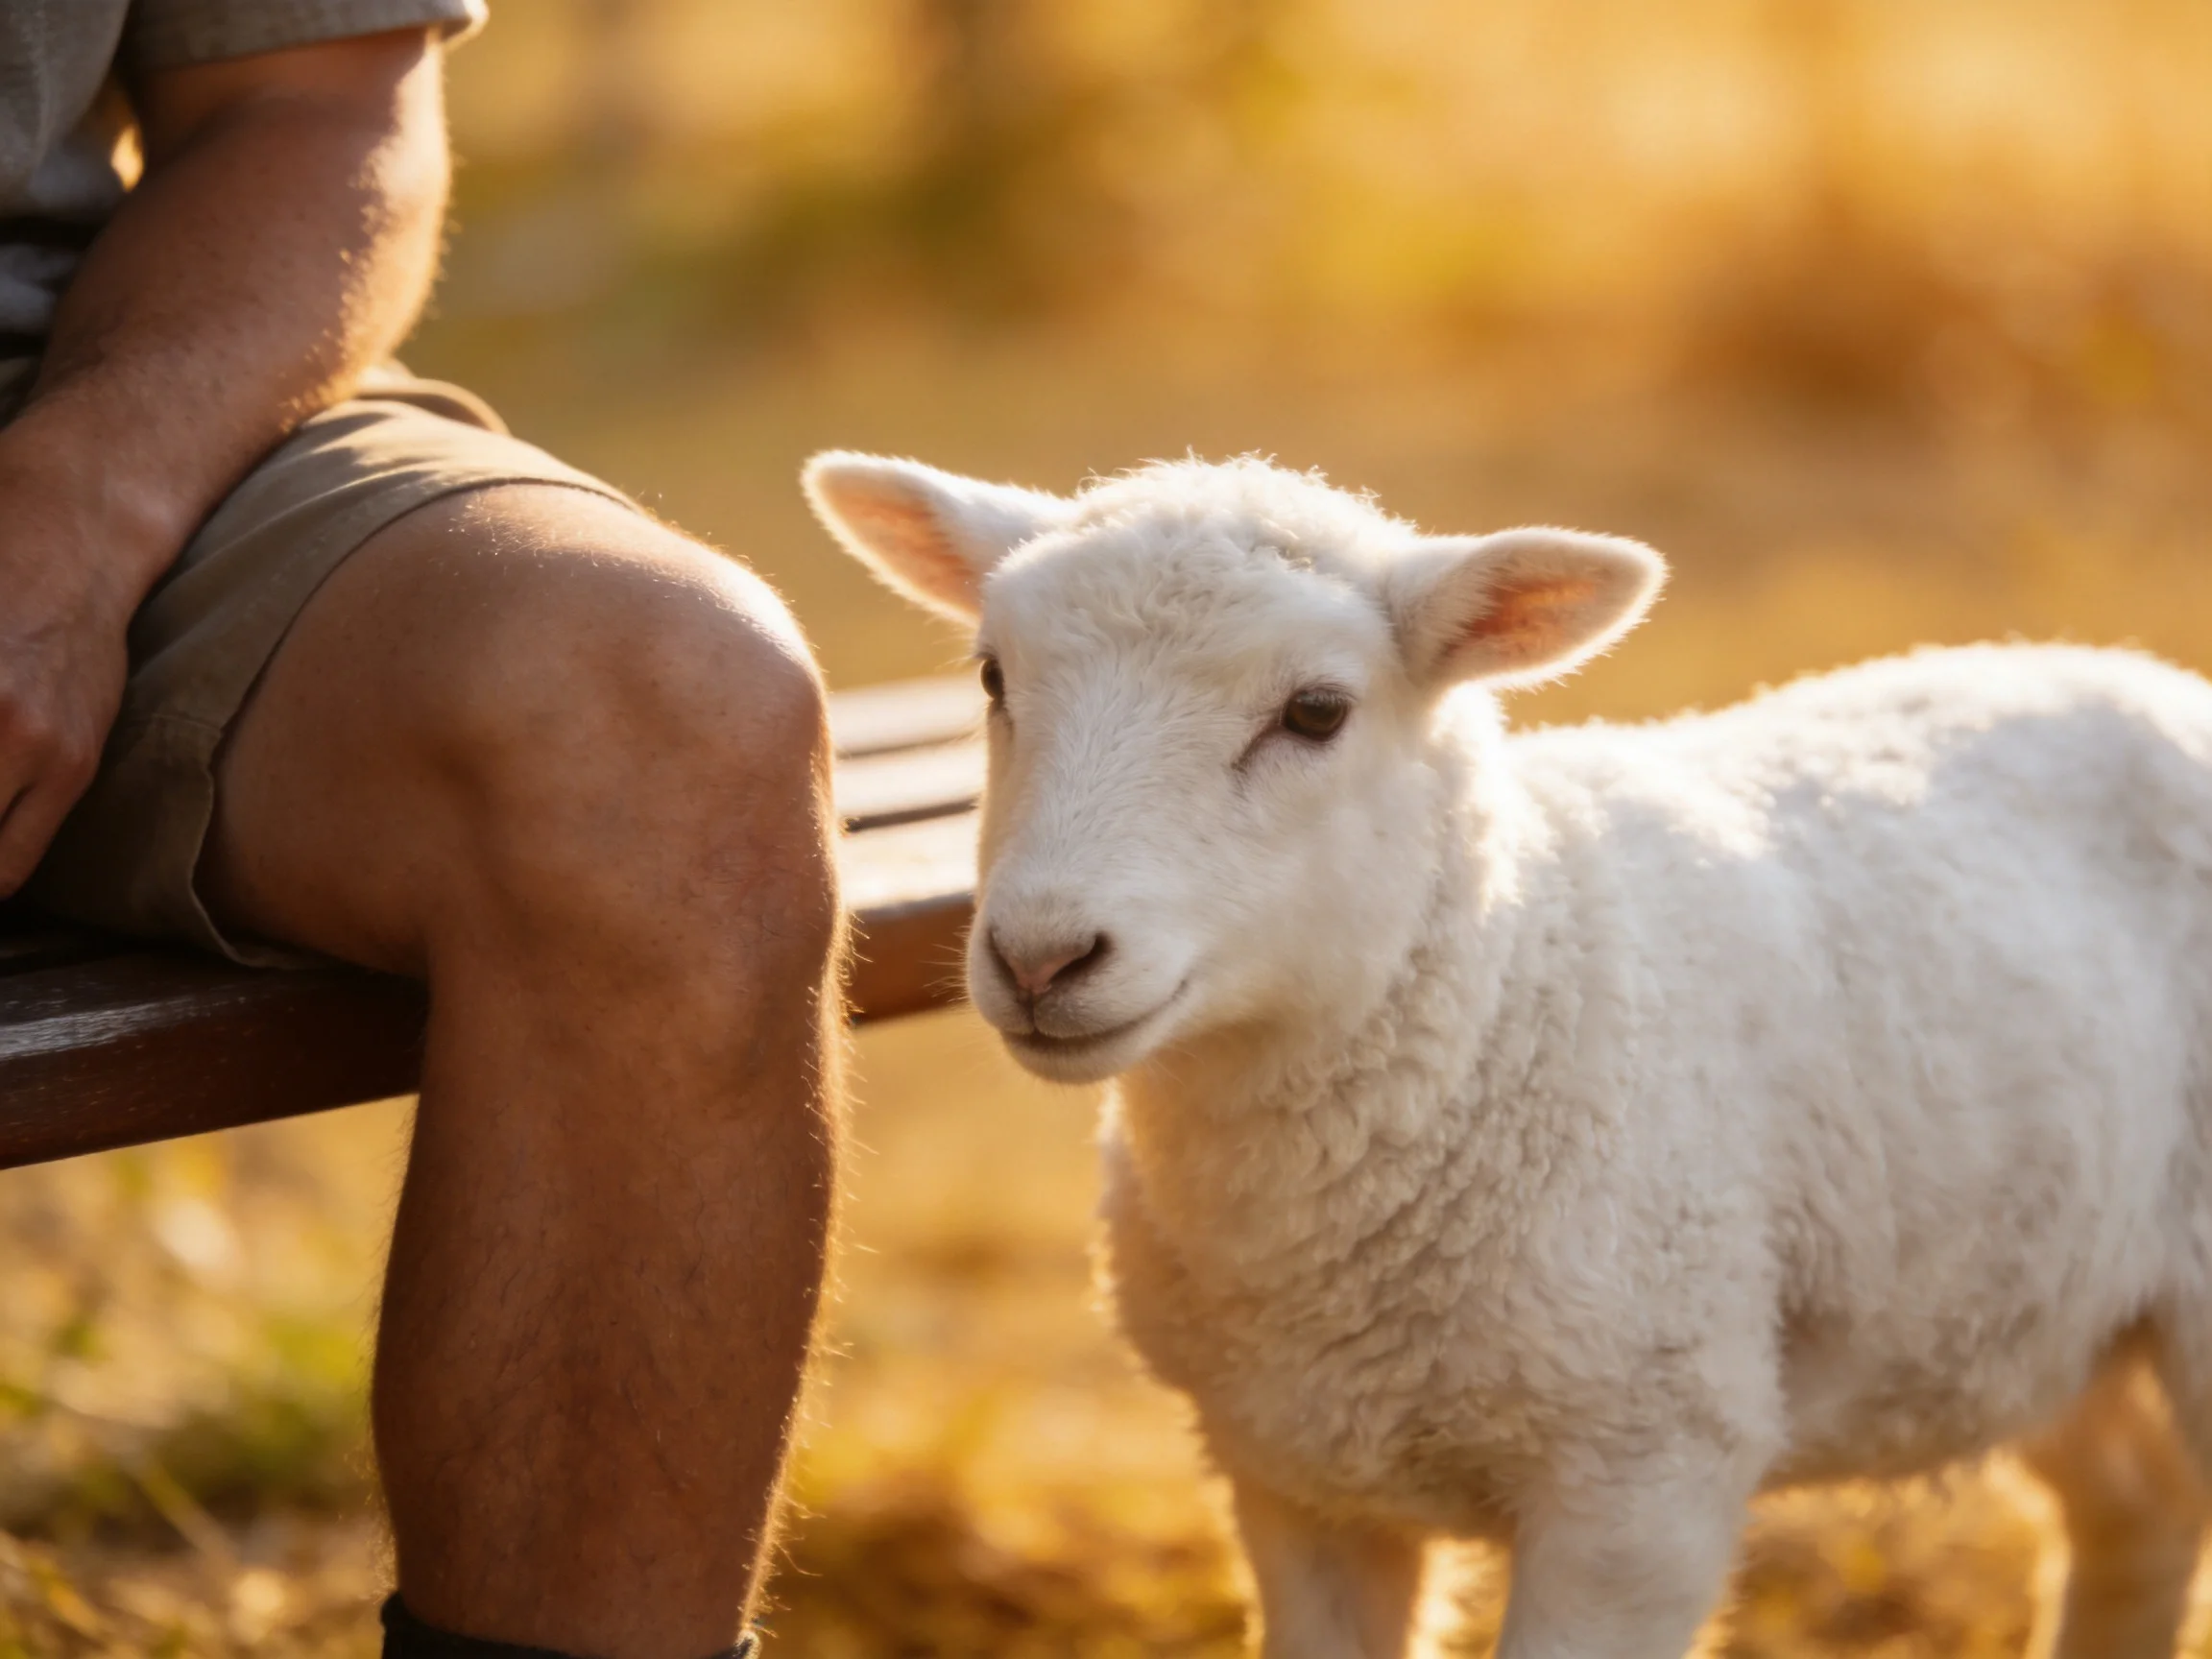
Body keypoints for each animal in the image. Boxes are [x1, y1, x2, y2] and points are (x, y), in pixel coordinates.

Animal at [803, 450, 2212, 1659]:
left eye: (1315, 710)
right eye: (993, 677)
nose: (1042, 957)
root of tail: (2146, 677)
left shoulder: (1644, 1479)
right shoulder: (1296, 1479)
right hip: (2034, 1302)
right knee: (2138, 1512)